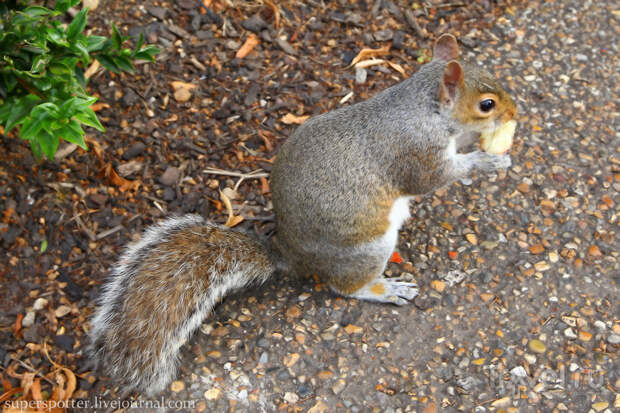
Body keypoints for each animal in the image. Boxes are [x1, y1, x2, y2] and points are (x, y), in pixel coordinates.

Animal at [89, 35, 520, 396]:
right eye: (486, 105)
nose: (517, 111)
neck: (423, 108)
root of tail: (290, 257)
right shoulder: (416, 153)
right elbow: (435, 179)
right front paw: (487, 161)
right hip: (368, 247)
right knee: (345, 287)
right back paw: (384, 289)